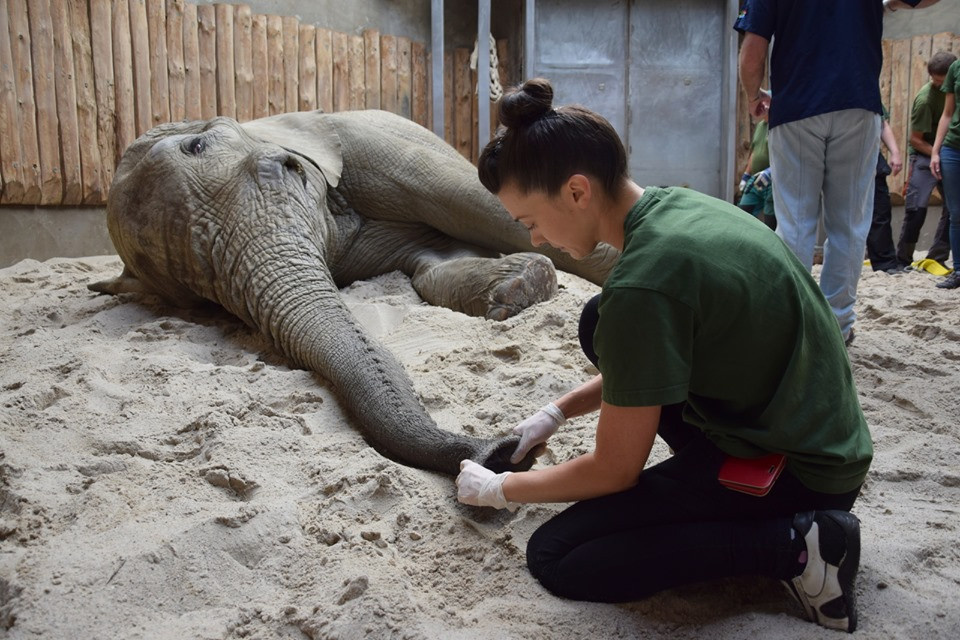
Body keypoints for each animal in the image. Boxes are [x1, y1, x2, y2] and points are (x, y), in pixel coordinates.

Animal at [88, 110, 616, 478]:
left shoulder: (366, 147)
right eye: (204, 298)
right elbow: (430, 257)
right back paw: (519, 286)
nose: (504, 452)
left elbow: (486, 205)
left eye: (289, 167)